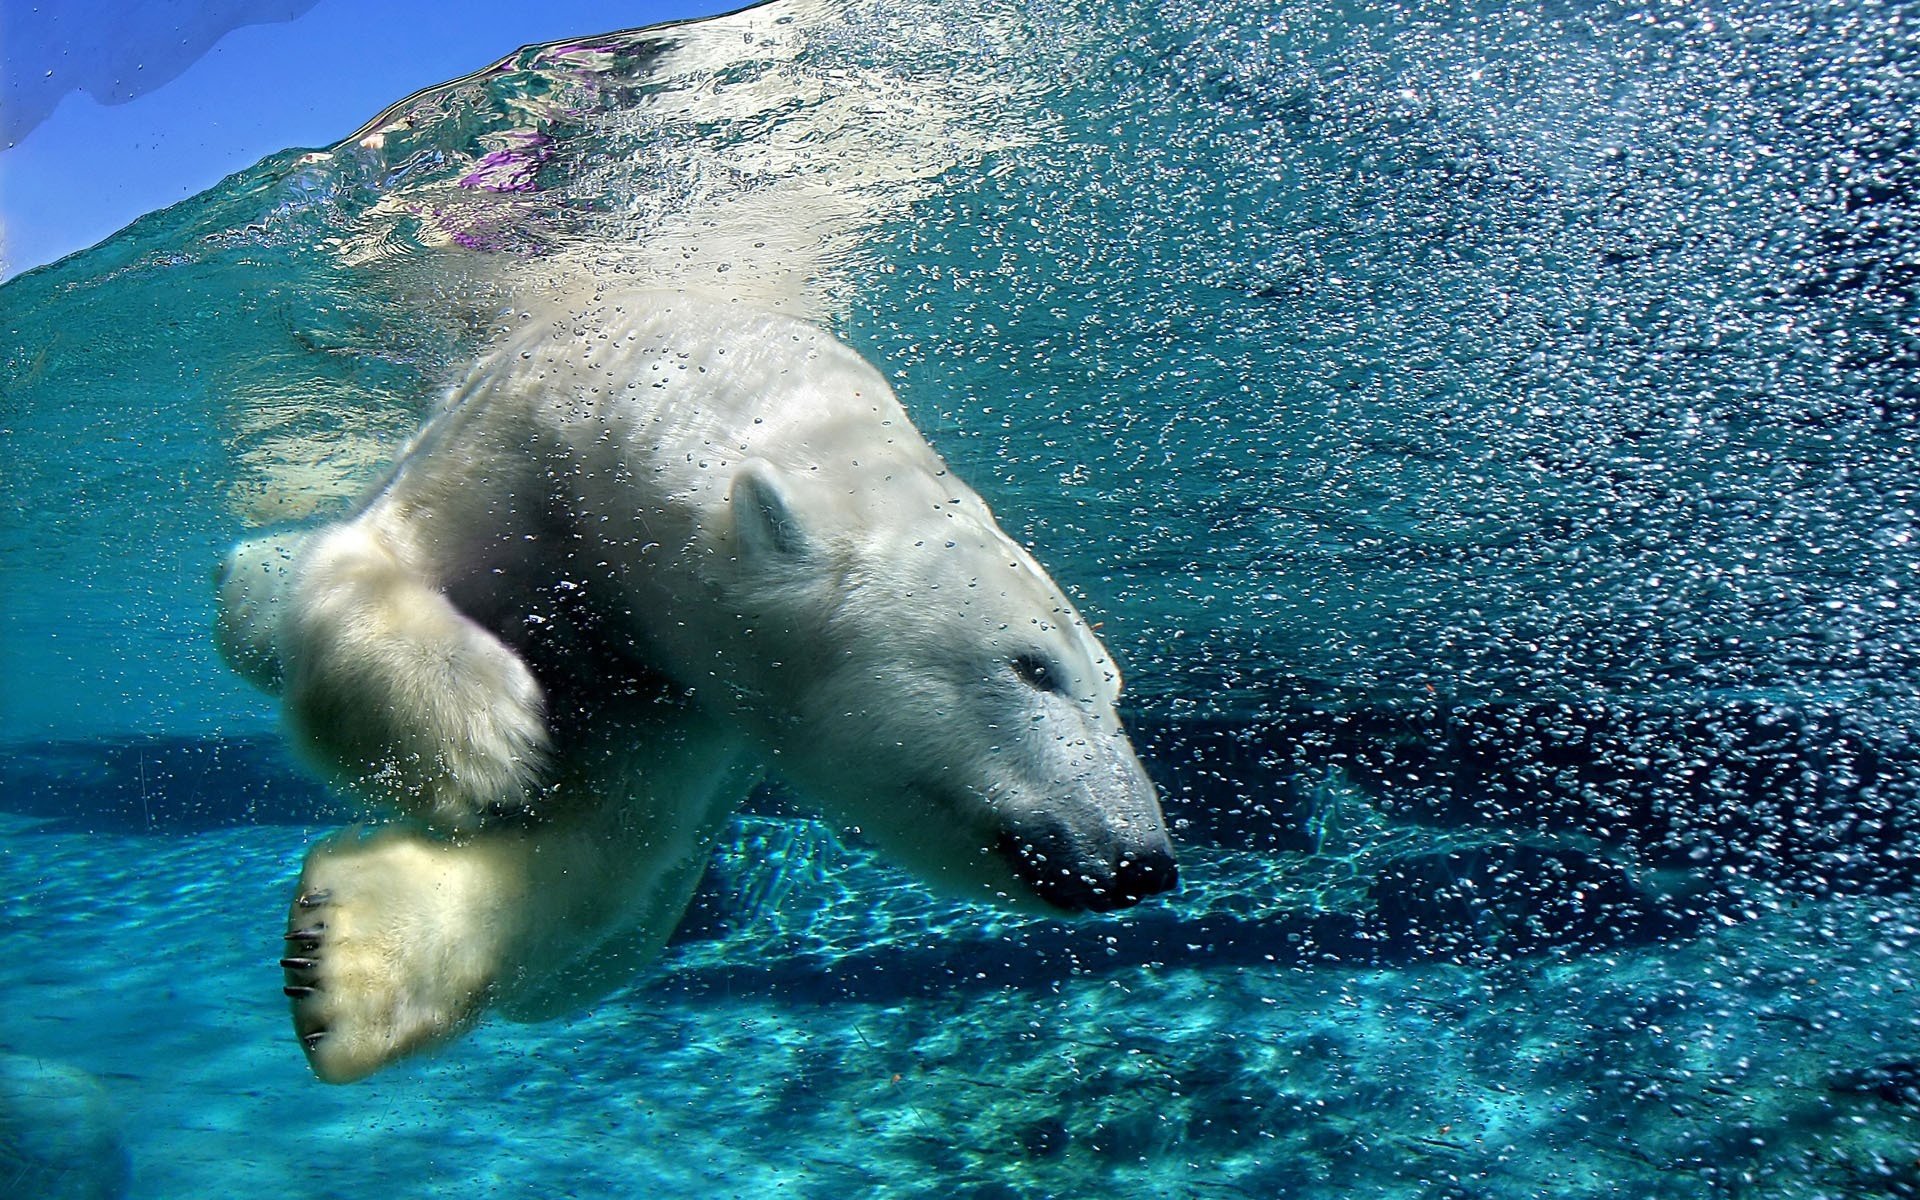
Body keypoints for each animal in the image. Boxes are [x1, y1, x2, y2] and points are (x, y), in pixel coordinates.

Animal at [210, 291, 1167, 1082]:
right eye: (1033, 666)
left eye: (1113, 687)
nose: (1140, 861)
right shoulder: (517, 448)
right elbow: (372, 563)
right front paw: (485, 737)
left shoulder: (691, 696)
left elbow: (607, 843)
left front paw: (341, 958)